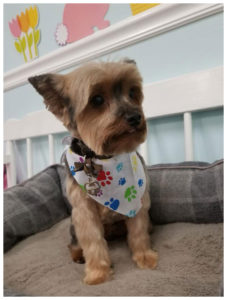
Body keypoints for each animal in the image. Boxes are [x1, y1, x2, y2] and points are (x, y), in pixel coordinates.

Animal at [28, 59, 158, 286]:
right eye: (97, 99)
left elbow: (139, 231)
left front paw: (144, 256)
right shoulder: (83, 210)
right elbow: (92, 240)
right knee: (73, 243)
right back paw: (78, 255)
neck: (102, 156)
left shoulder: (139, 201)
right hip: (73, 225)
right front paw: (98, 273)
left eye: (132, 92)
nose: (136, 117)